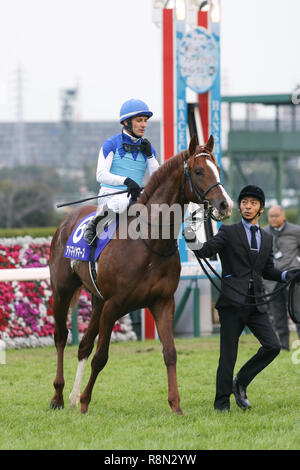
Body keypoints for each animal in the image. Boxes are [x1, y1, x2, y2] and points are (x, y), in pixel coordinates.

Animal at [49, 134, 233, 414]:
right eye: (199, 171)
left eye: (218, 169)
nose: (225, 204)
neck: (149, 241)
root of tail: (65, 220)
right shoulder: (114, 305)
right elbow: (101, 357)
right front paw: (85, 402)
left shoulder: (162, 302)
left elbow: (170, 352)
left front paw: (176, 406)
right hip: (63, 291)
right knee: (61, 337)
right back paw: (59, 396)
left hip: (97, 300)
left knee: (83, 345)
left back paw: (71, 396)